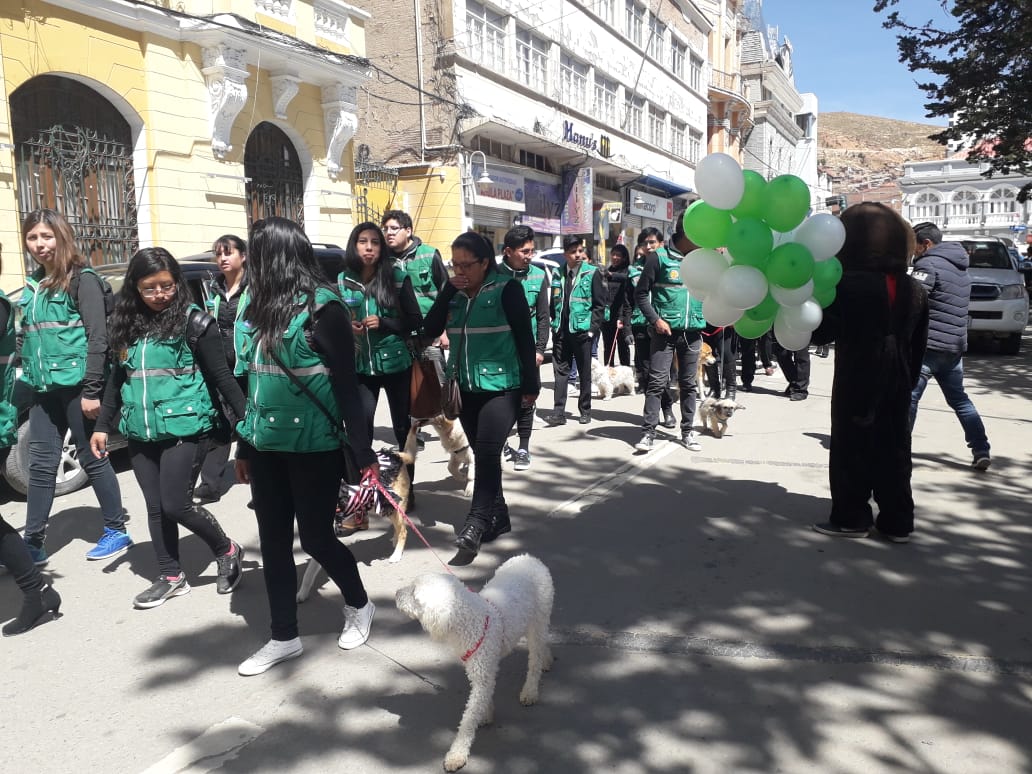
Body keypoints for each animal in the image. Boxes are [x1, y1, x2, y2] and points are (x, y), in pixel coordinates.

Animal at [394, 553, 557, 771]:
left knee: (534, 658)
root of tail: (529, 558)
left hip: (539, 618)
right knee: (540, 648)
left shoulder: (482, 674)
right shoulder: (480, 672)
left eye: (414, 592)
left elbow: (468, 718)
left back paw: (530, 690)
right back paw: (547, 660)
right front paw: (486, 714)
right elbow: (483, 699)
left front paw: (457, 754)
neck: (472, 620)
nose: (396, 594)